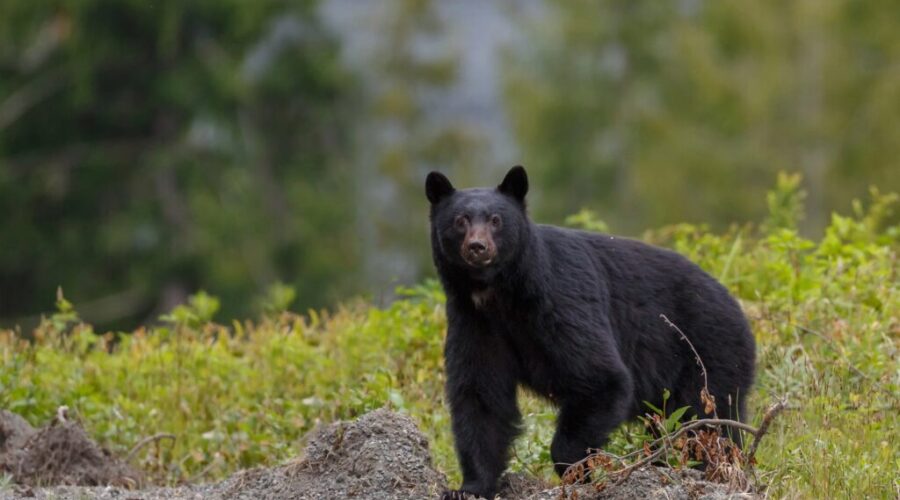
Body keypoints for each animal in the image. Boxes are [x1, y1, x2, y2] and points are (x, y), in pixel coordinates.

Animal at [426, 166, 756, 500]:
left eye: (496, 220)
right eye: (460, 220)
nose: (477, 247)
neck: (501, 294)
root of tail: (738, 307)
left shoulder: (561, 301)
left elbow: (600, 377)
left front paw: (575, 472)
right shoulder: (475, 322)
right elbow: (481, 397)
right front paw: (469, 487)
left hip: (707, 354)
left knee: (707, 420)